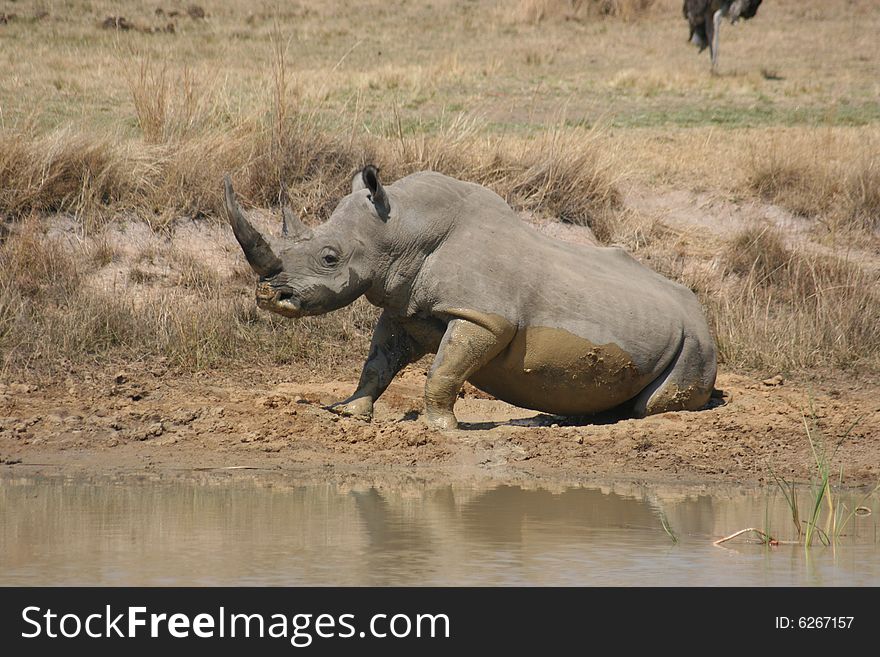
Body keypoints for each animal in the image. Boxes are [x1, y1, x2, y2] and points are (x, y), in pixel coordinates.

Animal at [223, 167, 720, 428]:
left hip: (697, 342)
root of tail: (700, 311)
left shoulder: (485, 317)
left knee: (653, 402)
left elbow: (444, 369)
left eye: (329, 257)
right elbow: (377, 363)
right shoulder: (403, 307)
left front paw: (441, 428)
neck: (401, 230)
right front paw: (349, 414)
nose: (269, 296)